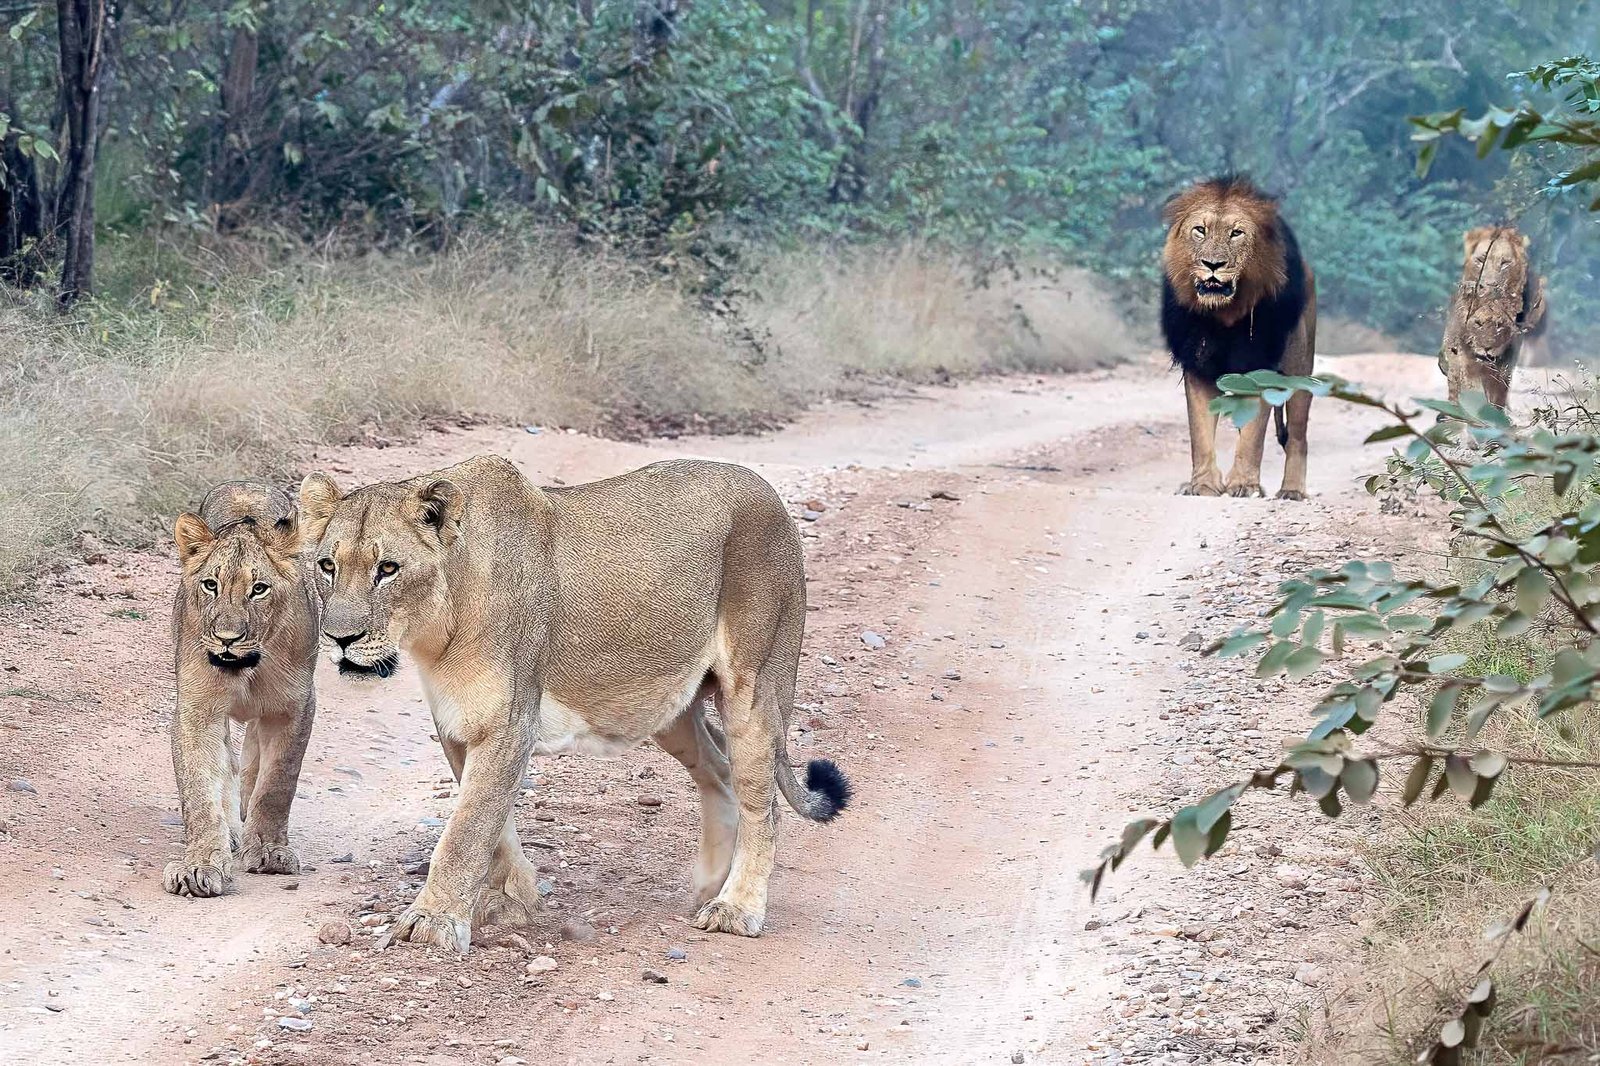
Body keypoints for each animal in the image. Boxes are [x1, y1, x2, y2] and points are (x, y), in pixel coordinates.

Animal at [164, 481, 320, 898]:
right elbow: (200, 790)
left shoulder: (294, 707)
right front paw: (199, 865)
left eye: (259, 589)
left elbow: (278, 782)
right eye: (211, 585)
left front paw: (268, 849)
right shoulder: (196, 710)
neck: (247, 667)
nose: (227, 639)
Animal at [297, 456, 852, 952]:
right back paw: (710, 885)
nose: (340, 639)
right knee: (719, 768)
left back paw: (736, 907)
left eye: (387, 569)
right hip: (663, 701)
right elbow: (490, 823)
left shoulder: (508, 723)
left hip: (754, 683)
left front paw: (434, 921)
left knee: (763, 802)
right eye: (327, 566)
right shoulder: (457, 724)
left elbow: (465, 829)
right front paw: (514, 899)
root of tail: (767, 490)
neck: (438, 629)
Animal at [1161, 176, 1317, 500]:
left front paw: (1244, 485)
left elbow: (1253, 435)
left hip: (1299, 368)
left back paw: (1291, 490)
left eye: (1236, 233)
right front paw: (1203, 485)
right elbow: (1200, 433)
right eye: (1200, 230)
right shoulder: (1198, 367)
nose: (1212, 264)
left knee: (1298, 435)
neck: (1224, 315)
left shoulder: (1259, 366)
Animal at [1439, 225, 1548, 409]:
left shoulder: (1505, 363)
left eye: (1505, 263)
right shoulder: (1463, 357)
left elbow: (1497, 393)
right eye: (1481, 260)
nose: (1489, 286)